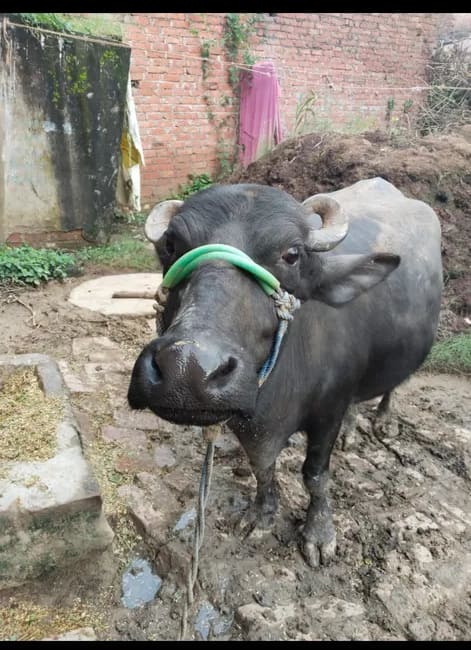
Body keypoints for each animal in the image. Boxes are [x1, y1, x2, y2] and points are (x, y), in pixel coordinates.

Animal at [128, 177, 442, 567]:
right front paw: (262, 514)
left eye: (291, 254)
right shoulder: (246, 418)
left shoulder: (327, 412)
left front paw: (319, 533)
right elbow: (262, 466)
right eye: (171, 245)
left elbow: (315, 476)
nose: (187, 368)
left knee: (391, 386)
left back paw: (383, 419)